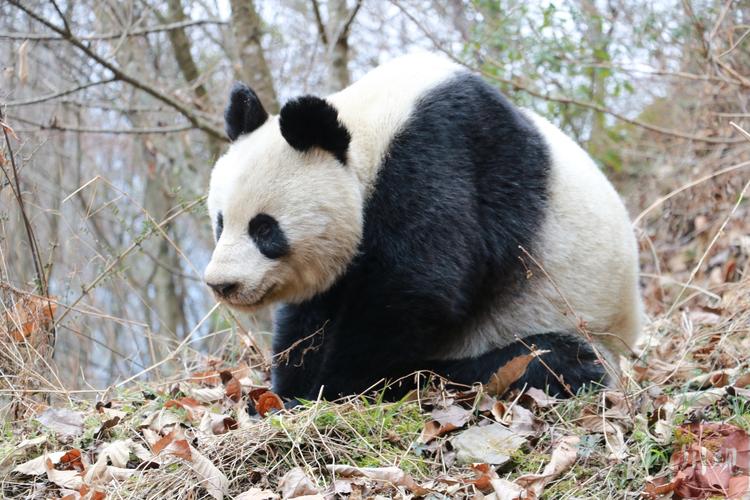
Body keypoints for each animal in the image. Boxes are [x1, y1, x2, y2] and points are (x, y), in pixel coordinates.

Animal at [206, 52, 648, 400]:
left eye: (265, 229)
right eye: (220, 222)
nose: (222, 284)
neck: (374, 123)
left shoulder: (440, 153)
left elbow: (418, 285)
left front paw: (337, 387)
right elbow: (313, 313)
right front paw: (287, 389)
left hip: (566, 319)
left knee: (547, 361)